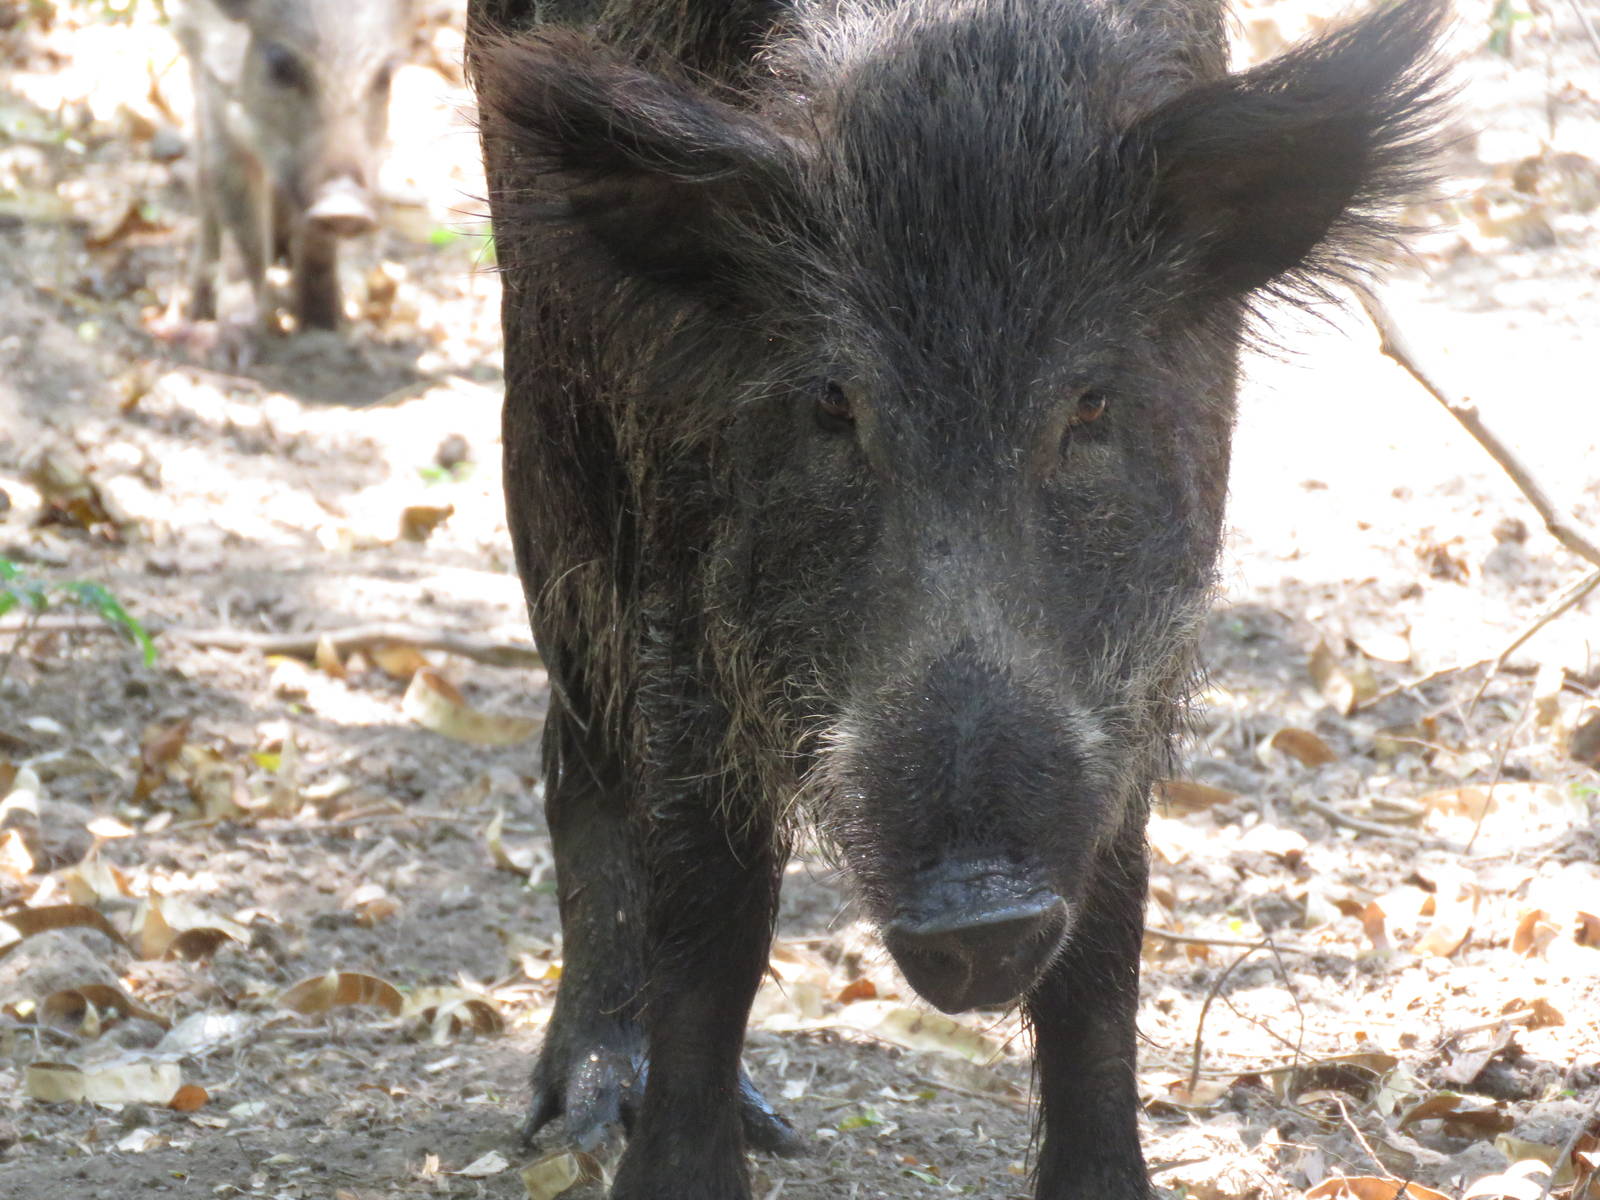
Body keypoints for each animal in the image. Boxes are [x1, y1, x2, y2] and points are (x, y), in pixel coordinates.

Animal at [173, 0, 413, 330]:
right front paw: (252, 331)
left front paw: (324, 326)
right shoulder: (217, 101)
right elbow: (246, 233)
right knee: (203, 179)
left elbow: (317, 247)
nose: (344, 205)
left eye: (385, 76)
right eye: (279, 64)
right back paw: (200, 313)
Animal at [466, 0, 1448, 1195]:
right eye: (833, 402)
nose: (980, 909)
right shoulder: (689, 589)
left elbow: (1108, 934)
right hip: (547, 422)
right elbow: (712, 909)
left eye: (1090, 404)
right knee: (582, 752)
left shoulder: (1132, 683)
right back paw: (587, 1112)